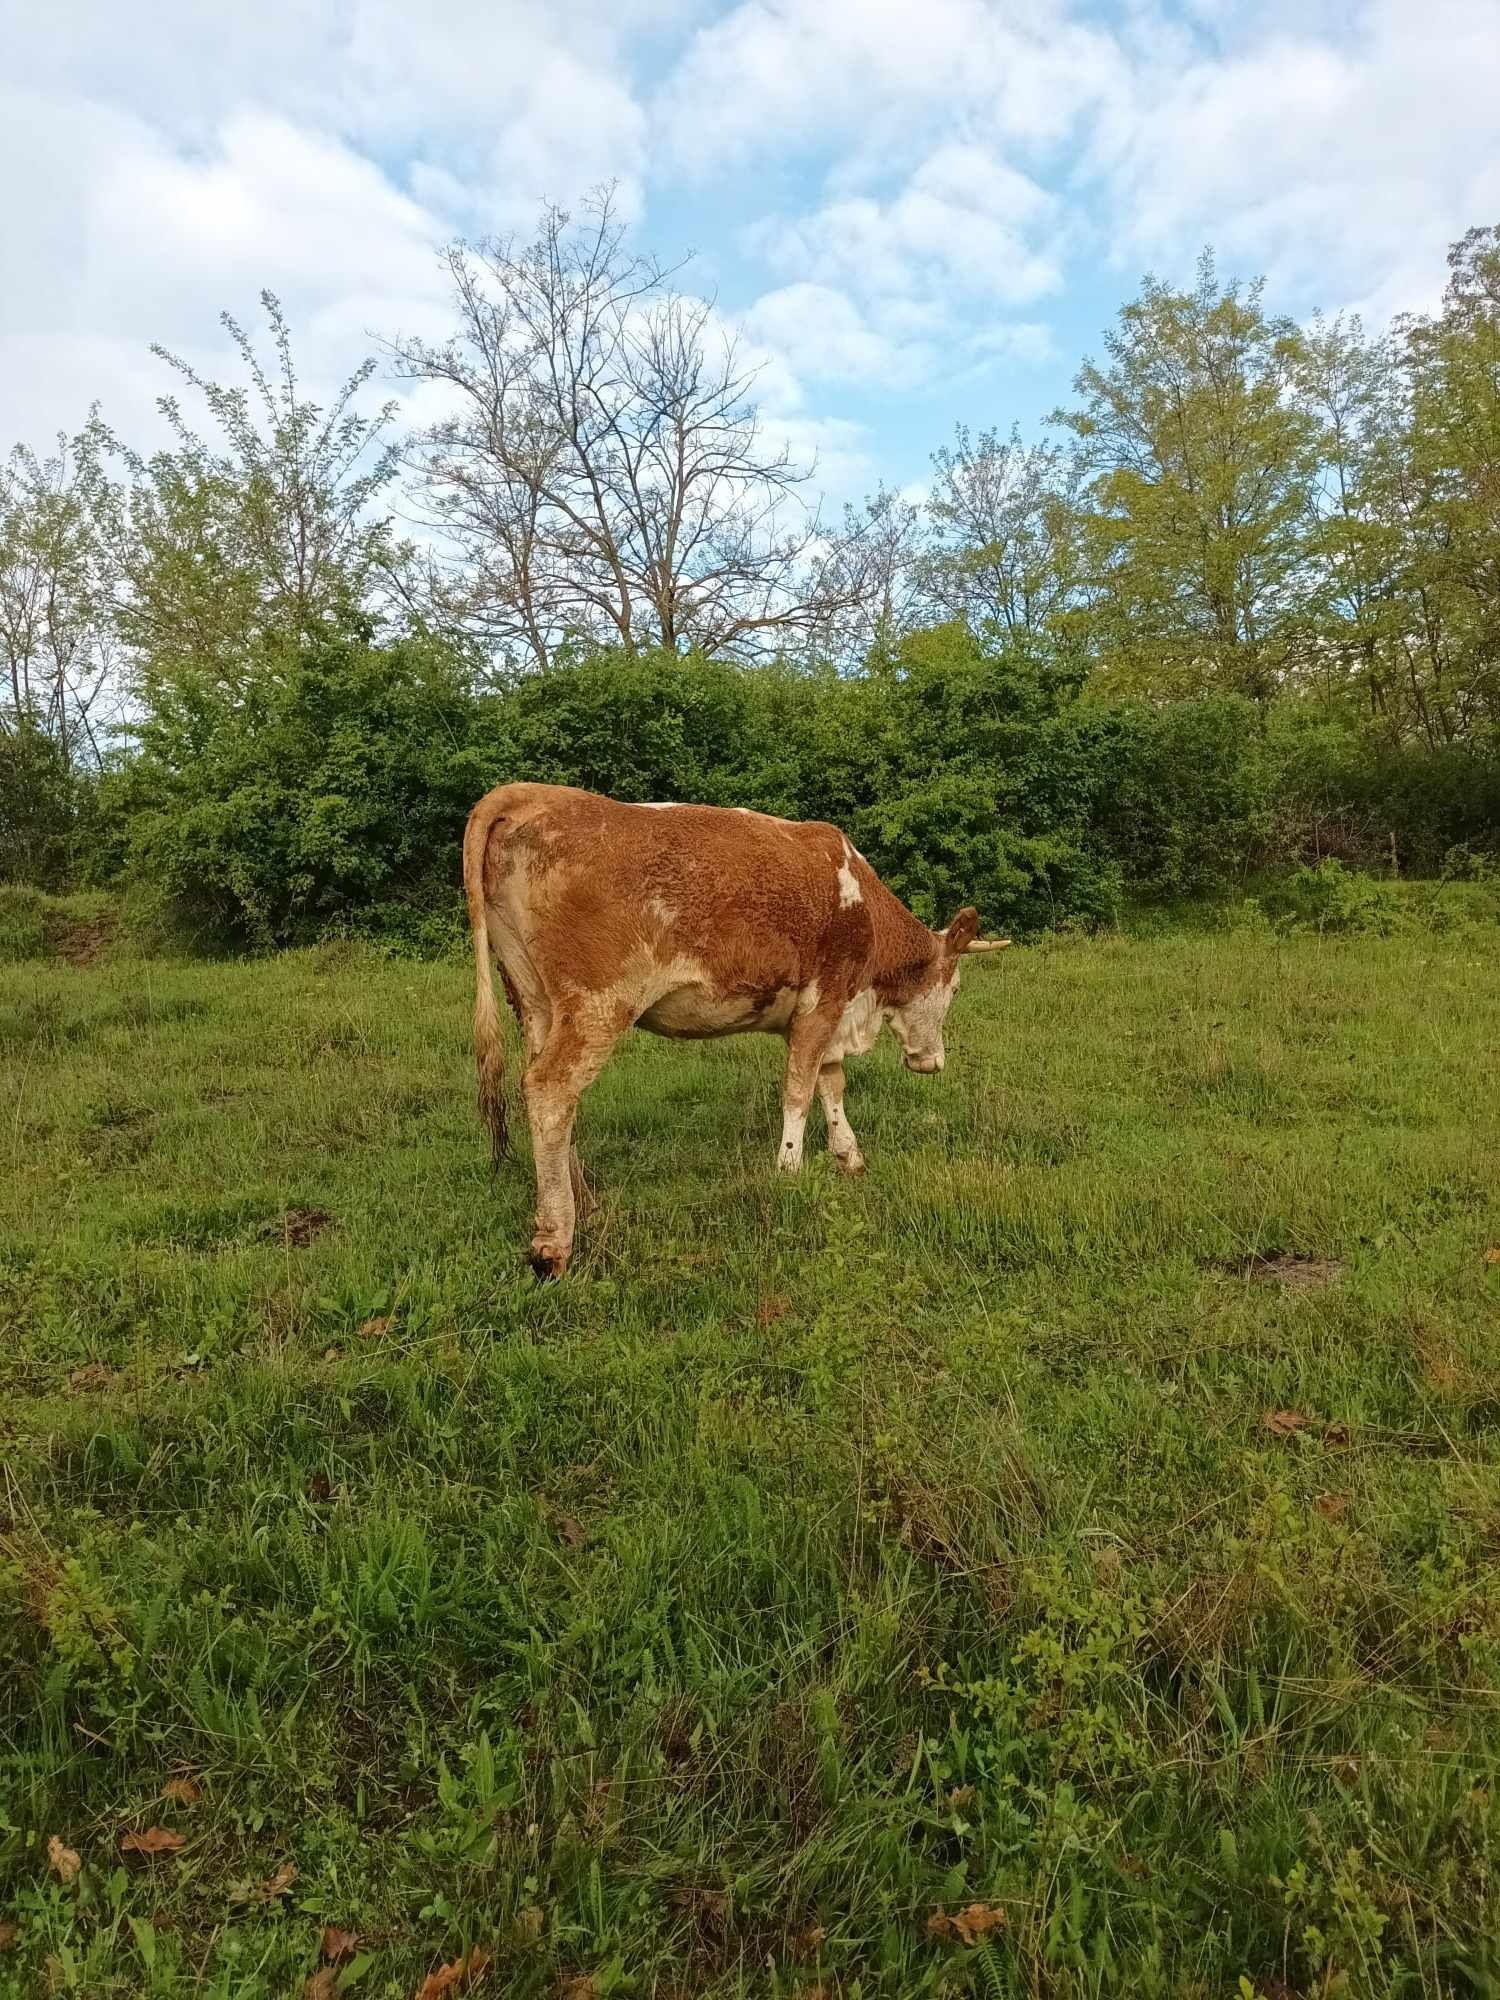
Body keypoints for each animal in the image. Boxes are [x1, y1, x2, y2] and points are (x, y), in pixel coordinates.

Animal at [468, 784, 1012, 1280]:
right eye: (956, 988)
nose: (932, 1061)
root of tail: (529, 793)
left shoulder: (828, 1014)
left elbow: (830, 1083)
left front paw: (849, 1157)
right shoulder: (824, 1000)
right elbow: (798, 1089)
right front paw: (789, 1171)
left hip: (535, 999)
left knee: (552, 1098)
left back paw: (585, 1200)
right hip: (598, 1002)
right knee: (551, 1088)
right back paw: (554, 1242)